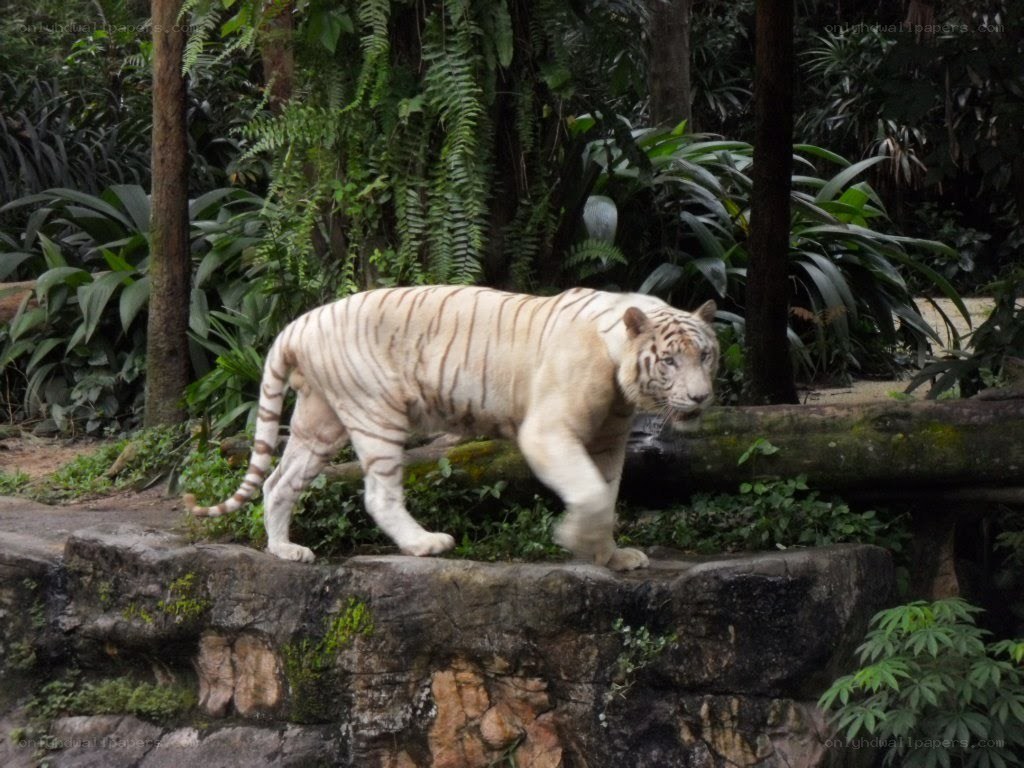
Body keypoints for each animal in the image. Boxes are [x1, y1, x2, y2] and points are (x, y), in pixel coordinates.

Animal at [185, 286, 718, 571]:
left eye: (706, 355)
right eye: (670, 361)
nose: (700, 398)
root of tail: (298, 324)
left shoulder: (609, 441)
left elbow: (604, 497)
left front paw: (610, 556)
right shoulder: (548, 431)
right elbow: (588, 494)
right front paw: (572, 538)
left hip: (321, 424)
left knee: (278, 483)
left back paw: (285, 550)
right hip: (376, 411)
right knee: (377, 495)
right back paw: (425, 543)